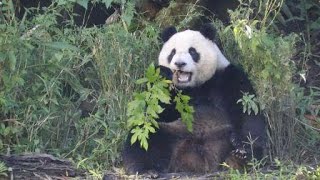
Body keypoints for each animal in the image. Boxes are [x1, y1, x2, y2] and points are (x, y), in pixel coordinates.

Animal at [121, 23, 266, 176]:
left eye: (192, 52)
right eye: (172, 53)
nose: (179, 63)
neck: (193, 86)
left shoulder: (228, 77)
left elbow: (247, 113)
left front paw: (243, 148)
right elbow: (161, 111)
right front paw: (164, 73)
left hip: (220, 137)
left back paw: (239, 156)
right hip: (172, 133)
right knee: (143, 137)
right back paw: (146, 170)